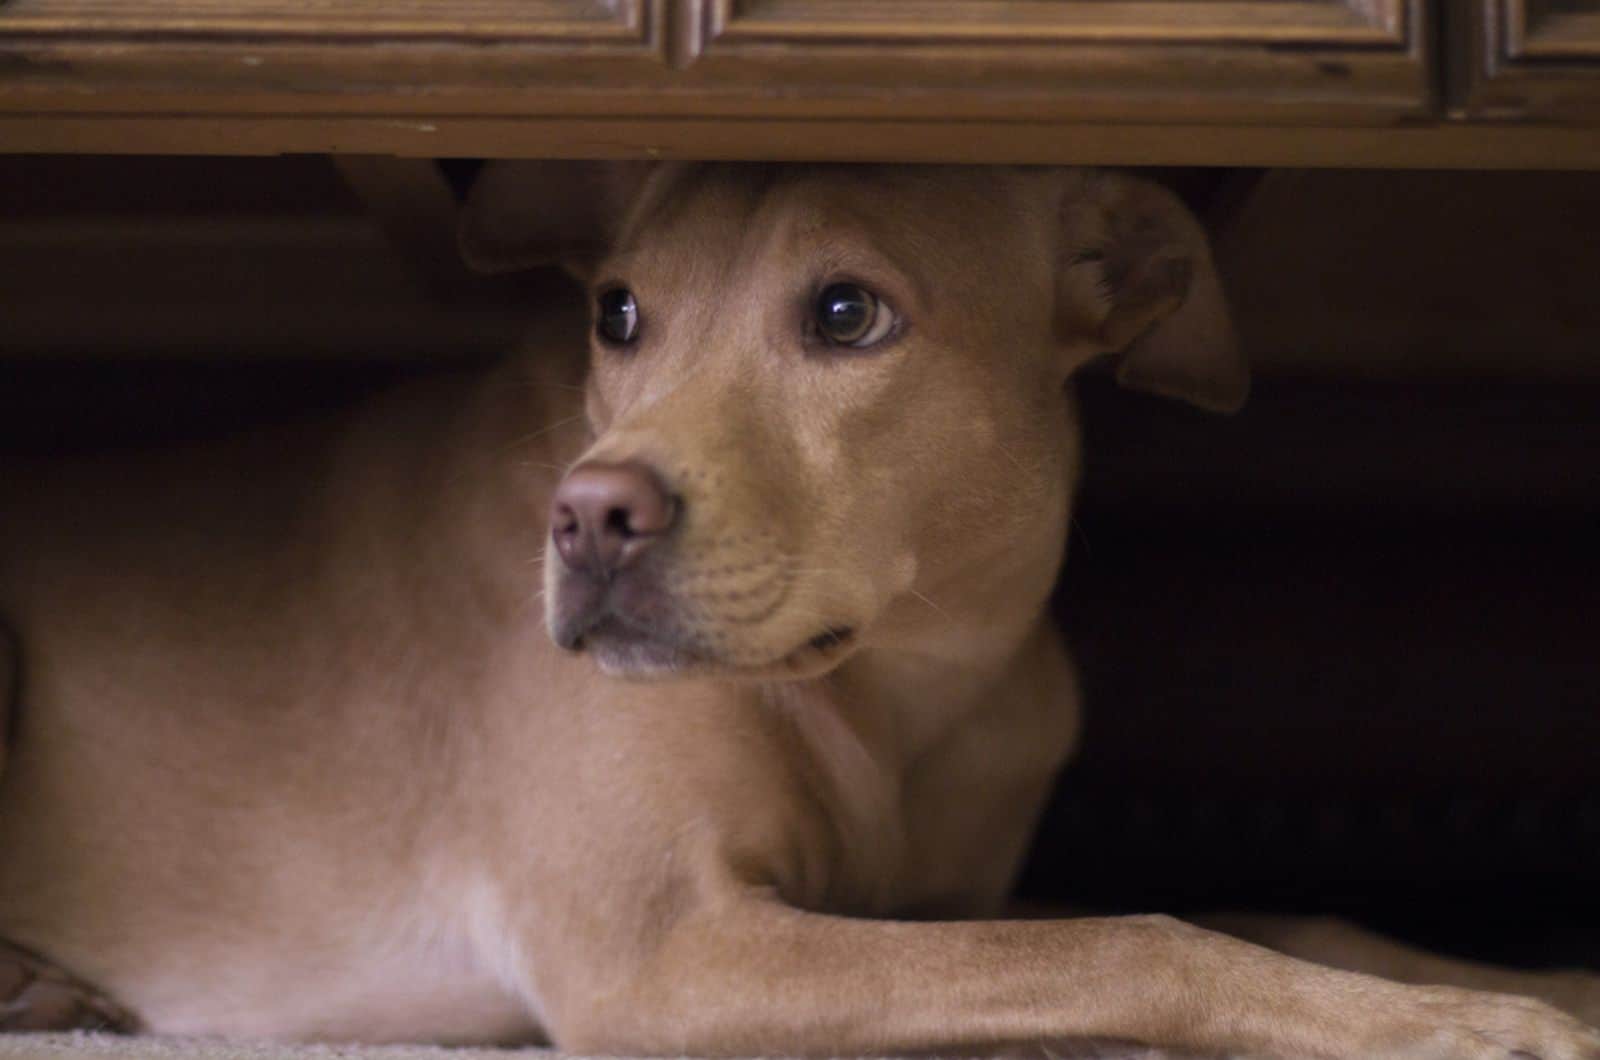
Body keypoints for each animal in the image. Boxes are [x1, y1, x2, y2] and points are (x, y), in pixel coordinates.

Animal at [3, 166, 1600, 1060]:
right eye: (618, 314)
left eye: (846, 315)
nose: (585, 522)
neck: (907, 675)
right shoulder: (668, 955)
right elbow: (1140, 939)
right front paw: (1446, 1031)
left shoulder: (937, 905)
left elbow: (1270, 910)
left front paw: (1525, 980)